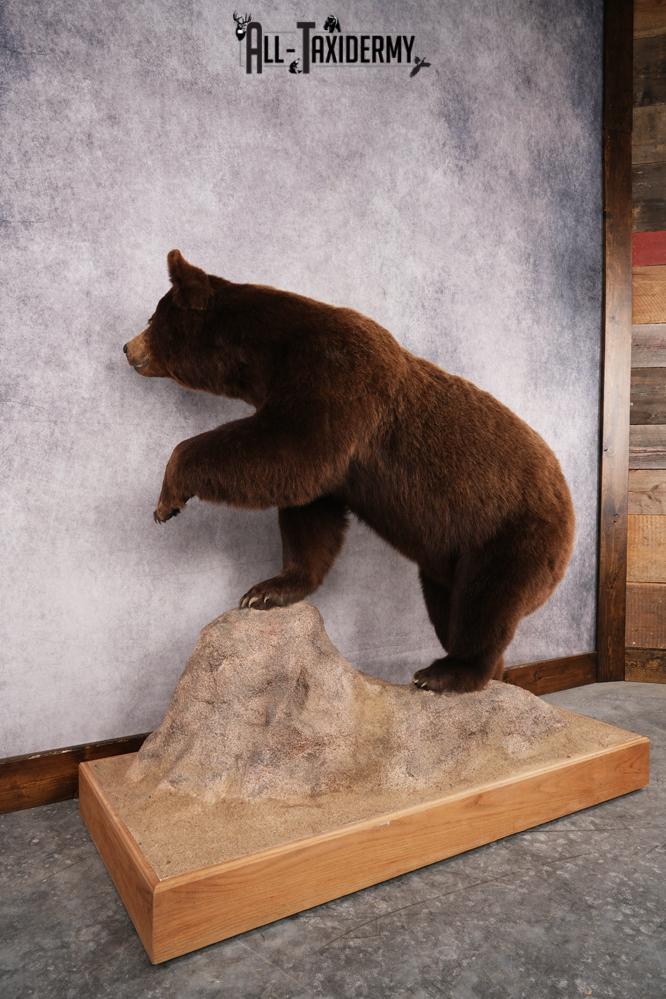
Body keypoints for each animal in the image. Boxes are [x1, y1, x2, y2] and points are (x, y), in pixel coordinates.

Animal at [123, 249, 575, 694]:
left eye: (151, 319)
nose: (127, 348)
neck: (269, 357)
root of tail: (570, 508)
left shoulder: (337, 382)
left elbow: (290, 453)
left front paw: (167, 499)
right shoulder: (326, 432)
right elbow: (309, 508)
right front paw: (269, 590)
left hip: (510, 535)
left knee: (485, 604)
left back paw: (445, 672)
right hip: (448, 556)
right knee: (447, 604)